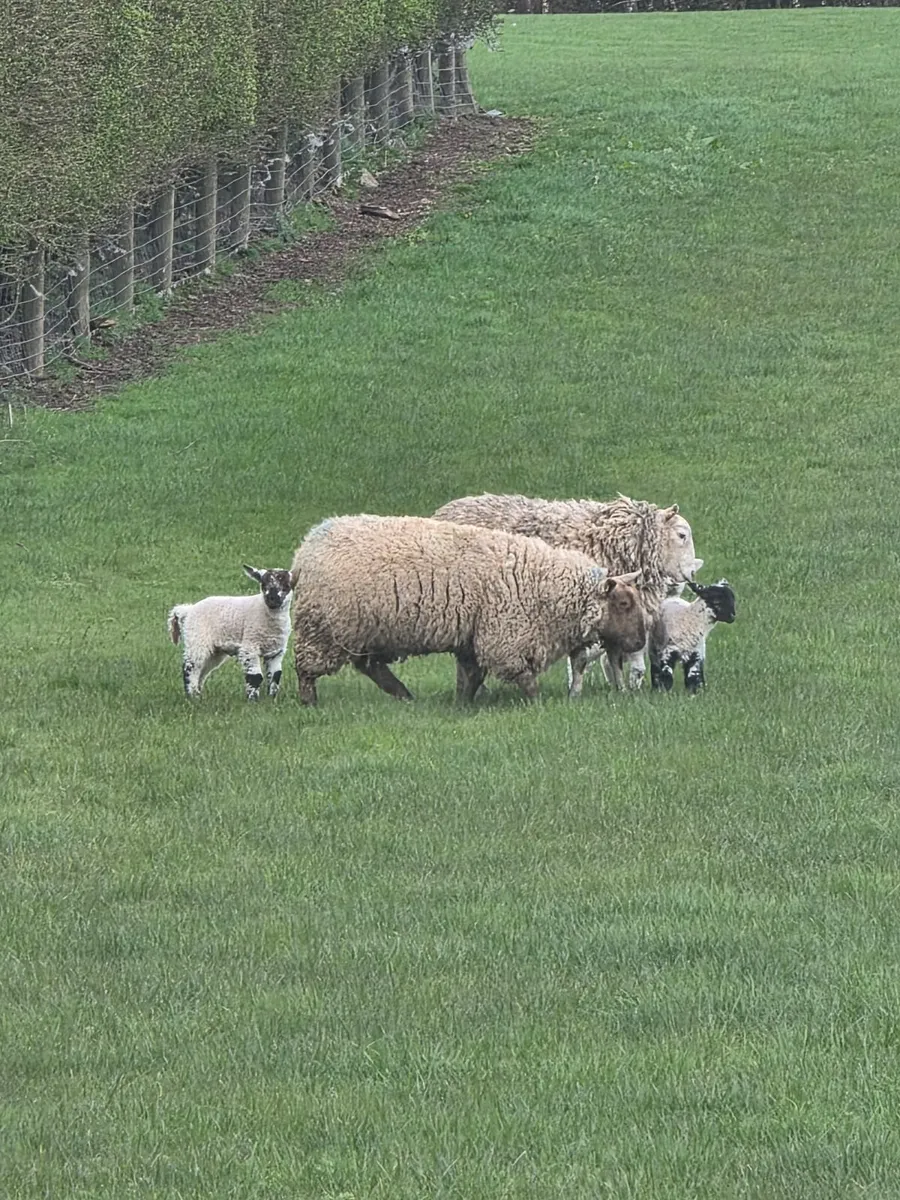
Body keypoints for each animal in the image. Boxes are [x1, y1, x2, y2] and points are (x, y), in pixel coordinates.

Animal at [167, 565, 294, 700]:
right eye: (263, 585)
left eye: (286, 586)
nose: (271, 600)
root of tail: (188, 610)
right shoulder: (249, 646)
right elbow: (255, 677)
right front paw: (253, 700)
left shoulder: (277, 651)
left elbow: (276, 675)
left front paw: (272, 698)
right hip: (197, 638)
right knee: (190, 667)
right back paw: (192, 696)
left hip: (214, 651)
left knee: (202, 669)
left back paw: (198, 693)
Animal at [289, 514, 646, 706]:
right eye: (624, 604)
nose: (641, 642)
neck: (544, 584)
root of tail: (306, 548)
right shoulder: (503, 636)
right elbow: (523, 677)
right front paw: (536, 703)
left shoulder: (474, 635)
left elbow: (472, 676)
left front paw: (462, 703)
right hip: (324, 627)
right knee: (307, 668)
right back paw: (310, 702)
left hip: (365, 630)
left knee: (370, 666)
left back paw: (404, 695)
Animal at [431, 492, 702, 696]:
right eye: (682, 535)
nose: (692, 573)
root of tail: (442, 511)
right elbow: (586, 658)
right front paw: (577, 691)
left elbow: (614, 656)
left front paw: (621, 689)